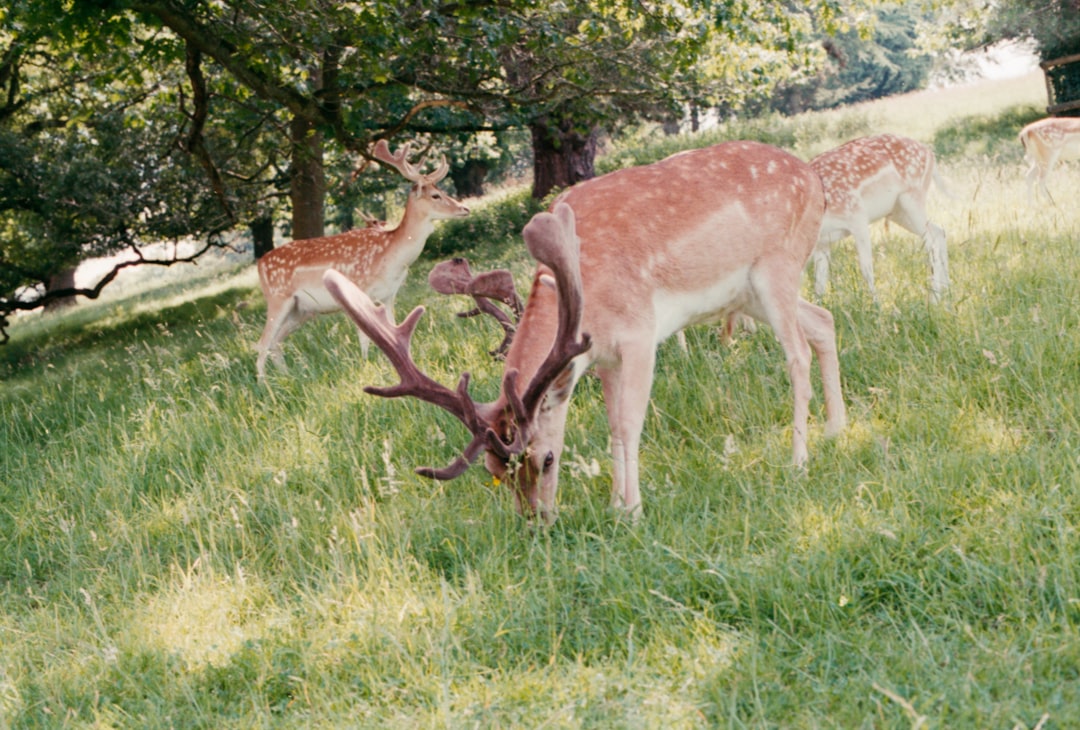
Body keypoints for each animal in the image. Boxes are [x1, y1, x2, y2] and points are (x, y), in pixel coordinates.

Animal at [258, 141, 473, 382]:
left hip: (301, 309)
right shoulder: (360, 288)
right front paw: (364, 366)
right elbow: (364, 336)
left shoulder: (390, 295)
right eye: (436, 195)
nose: (465, 208)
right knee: (262, 342)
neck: (390, 257)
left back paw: (285, 378)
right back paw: (263, 385)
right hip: (278, 298)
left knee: (275, 342)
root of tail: (260, 263)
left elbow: (394, 330)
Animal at [324, 139, 846, 522]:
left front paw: (631, 511)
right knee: (824, 320)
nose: (536, 524)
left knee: (797, 353)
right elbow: (611, 425)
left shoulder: (638, 334)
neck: (584, 297)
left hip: (777, 266)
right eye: (494, 471)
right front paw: (616, 503)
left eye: (546, 459)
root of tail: (815, 181)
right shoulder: (602, 358)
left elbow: (628, 423)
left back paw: (798, 460)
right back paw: (837, 430)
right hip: (747, 293)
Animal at [807, 132, 950, 304]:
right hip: (898, 212)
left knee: (932, 240)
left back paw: (934, 299)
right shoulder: (822, 243)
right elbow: (819, 283)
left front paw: (877, 306)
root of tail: (930, 154)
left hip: (912, 199)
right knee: (939, 231)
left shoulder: (857, 217)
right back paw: (948, 293)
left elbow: (866, 268)